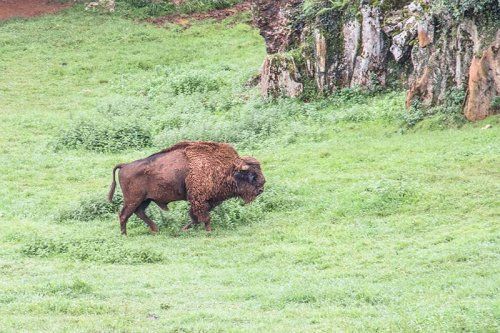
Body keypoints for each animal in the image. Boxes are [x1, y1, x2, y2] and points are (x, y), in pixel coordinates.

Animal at [107, 140, 266, 233]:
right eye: (252, 174)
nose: (261, 189)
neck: (225, 167)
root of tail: (125, 165)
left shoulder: (208, 201)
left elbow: (195, 217)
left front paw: (184, 229)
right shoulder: (199, 199)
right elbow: (204, 217)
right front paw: (209, 231)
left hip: (145, 199)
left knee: (139, 213)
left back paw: (155, 229)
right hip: (133, 199)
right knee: (124, 215)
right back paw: (125, 235)